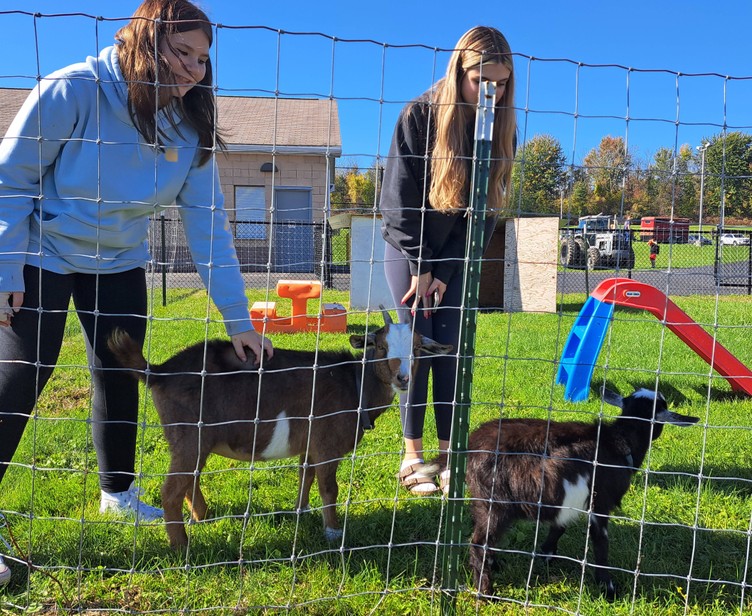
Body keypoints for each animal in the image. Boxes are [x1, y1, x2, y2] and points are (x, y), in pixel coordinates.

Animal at [108, 310, 450, 548]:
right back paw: (181, 546)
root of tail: (158, 372)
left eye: (417, 348)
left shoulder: (310, 445)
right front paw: (332, 532)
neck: (355, 384)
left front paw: (302, 511)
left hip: (190, 440)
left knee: (188, 480)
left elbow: (305, 475)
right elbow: (329, 487)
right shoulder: (327, 445)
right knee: (171, 490)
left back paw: (202, 517)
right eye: (380, 346)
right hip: (190, 435)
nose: (403, 378)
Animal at [464, 388, 700, 600]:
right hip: (496, 504)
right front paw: (608, 589)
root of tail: (471, 445)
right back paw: (486, 593)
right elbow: (601, 542)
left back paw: (495, 567)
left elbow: (559, 526)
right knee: (479, 545)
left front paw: (546, 554)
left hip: (482, 502)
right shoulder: (601, 502)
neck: (618, 442)